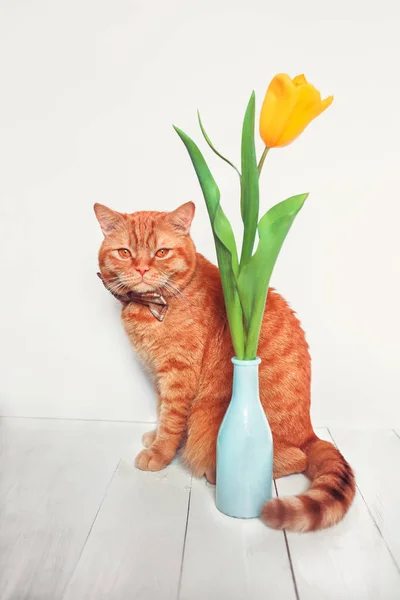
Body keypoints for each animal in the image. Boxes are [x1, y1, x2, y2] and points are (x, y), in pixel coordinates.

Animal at [95, 200, 354, 528]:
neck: (149, 306)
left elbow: (171, 419)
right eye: (125, 252)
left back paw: (218, 473)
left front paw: (160, 452)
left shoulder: (178, 373)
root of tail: (309, 432)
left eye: (161, 252)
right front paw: (156, 438)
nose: (141, 268)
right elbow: (162, 410)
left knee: (298, 458)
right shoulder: (158, 374)